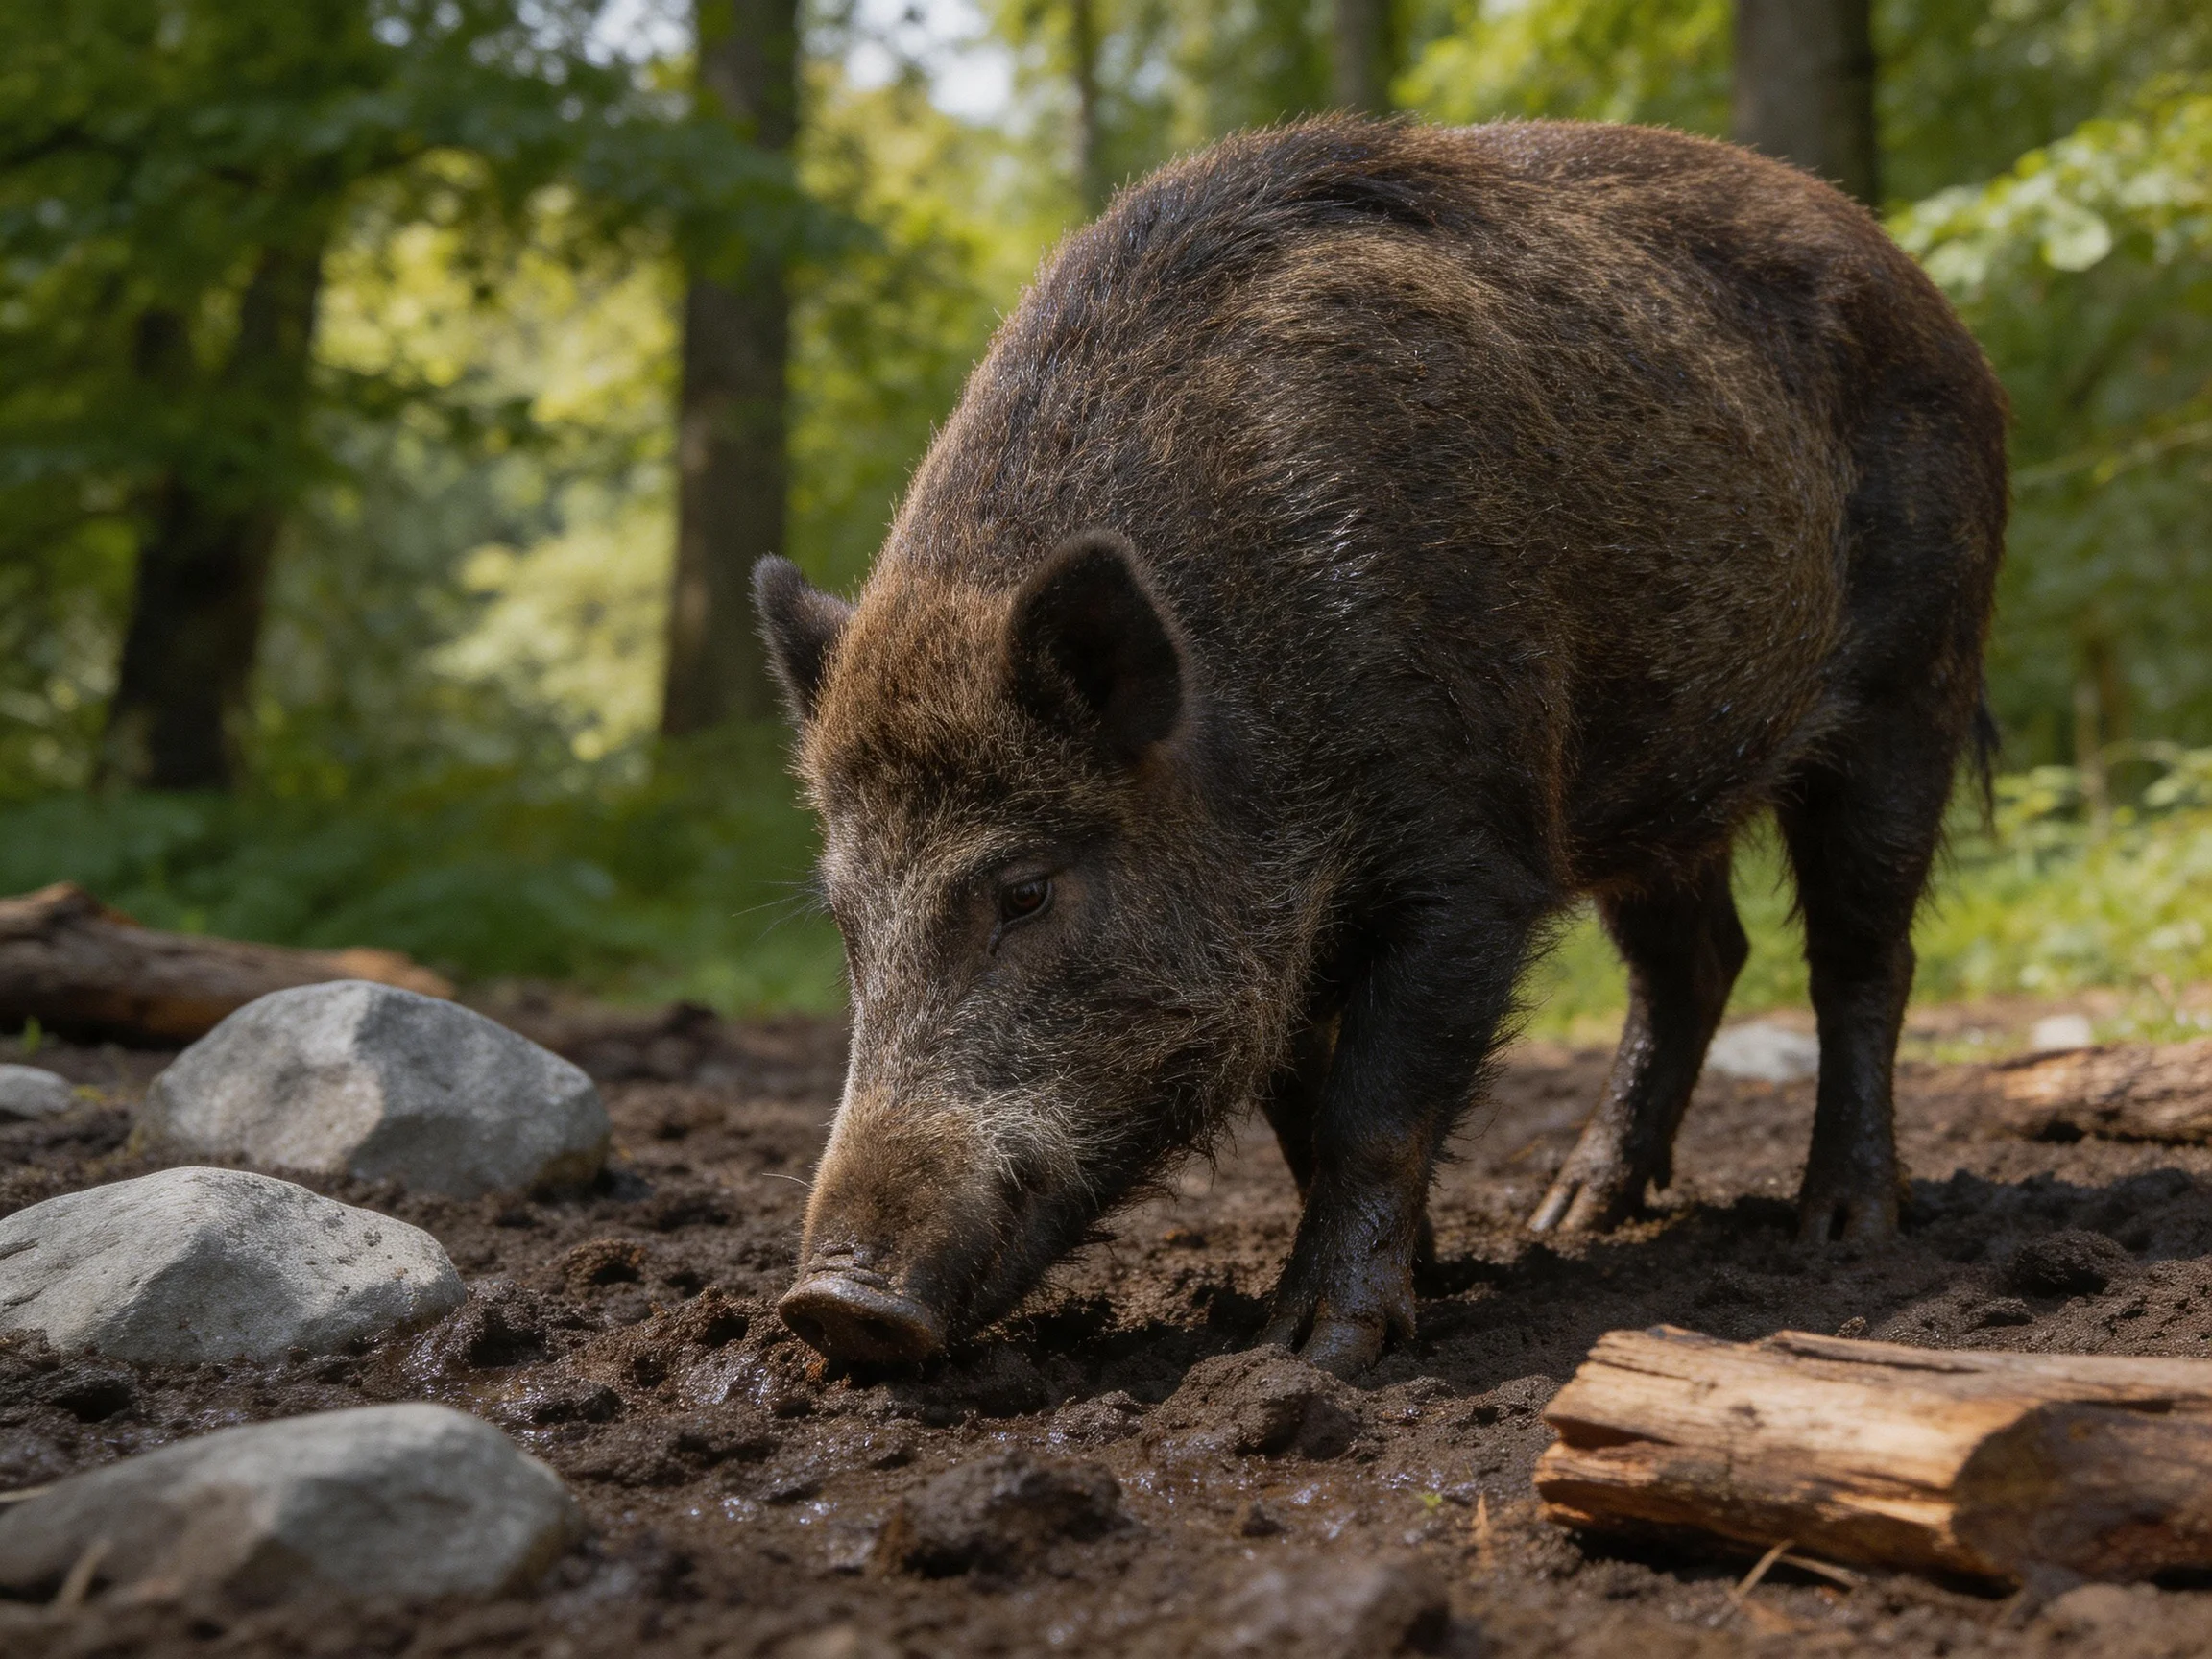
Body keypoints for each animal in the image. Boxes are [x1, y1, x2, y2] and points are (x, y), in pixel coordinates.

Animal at [757, 117, 2005, 1377]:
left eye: (1024, 890)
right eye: (843, 919)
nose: (833, 1305)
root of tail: (1926, 288)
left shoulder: (1473, 850)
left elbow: (1377, 1101)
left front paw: (1316, 1350)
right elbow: (1301, 1103)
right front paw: (1437, 1275)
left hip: (1917, 682)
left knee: (1859, 956)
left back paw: (1840, 1227)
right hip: (1652, 770)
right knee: (1694, 961)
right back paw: (1572, 1214)